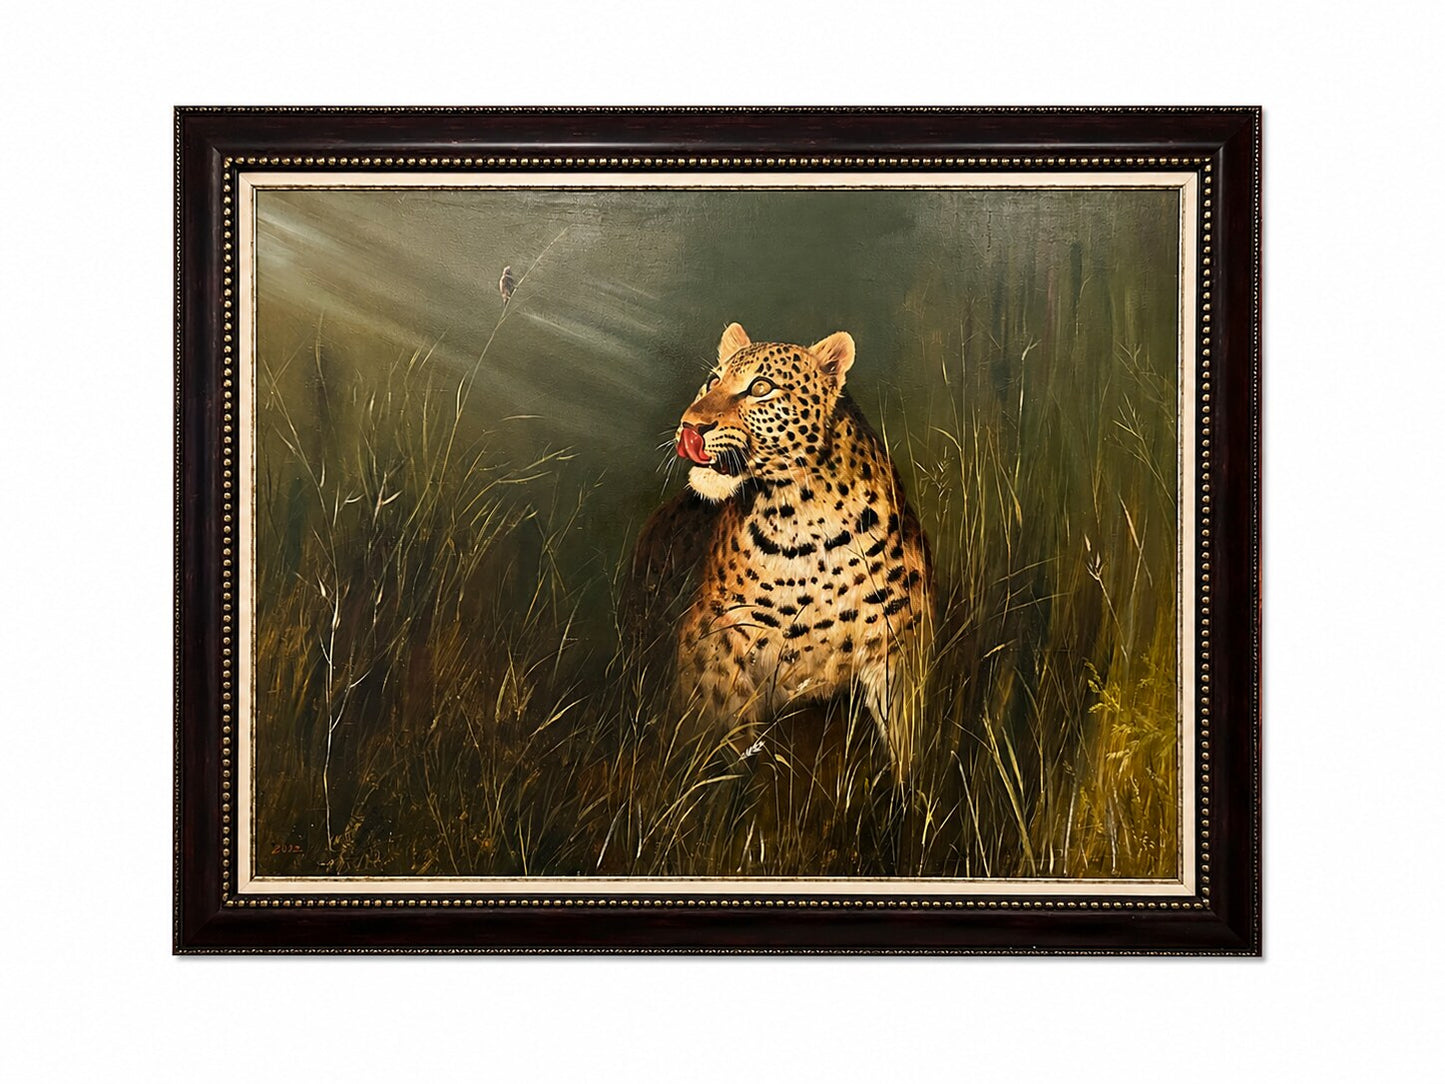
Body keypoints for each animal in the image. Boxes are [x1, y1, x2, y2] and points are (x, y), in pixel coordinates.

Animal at [642, 322, 934, 778]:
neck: (806, 525)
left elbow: (906, 751)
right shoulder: (716, 653)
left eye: (760, 387)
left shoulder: (899, 657)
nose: (690, 425)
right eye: (712, 381)